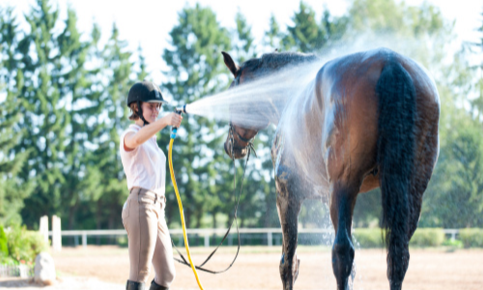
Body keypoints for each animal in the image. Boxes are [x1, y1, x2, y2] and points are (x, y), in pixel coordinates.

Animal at [221, 48, 440, 290]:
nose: (230, 145)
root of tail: (391, 61)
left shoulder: (287, 195)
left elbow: (288, 263)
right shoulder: (327, 198)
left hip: (344, 185)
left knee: (342, 252)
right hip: (411, 192)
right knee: (397, 256)